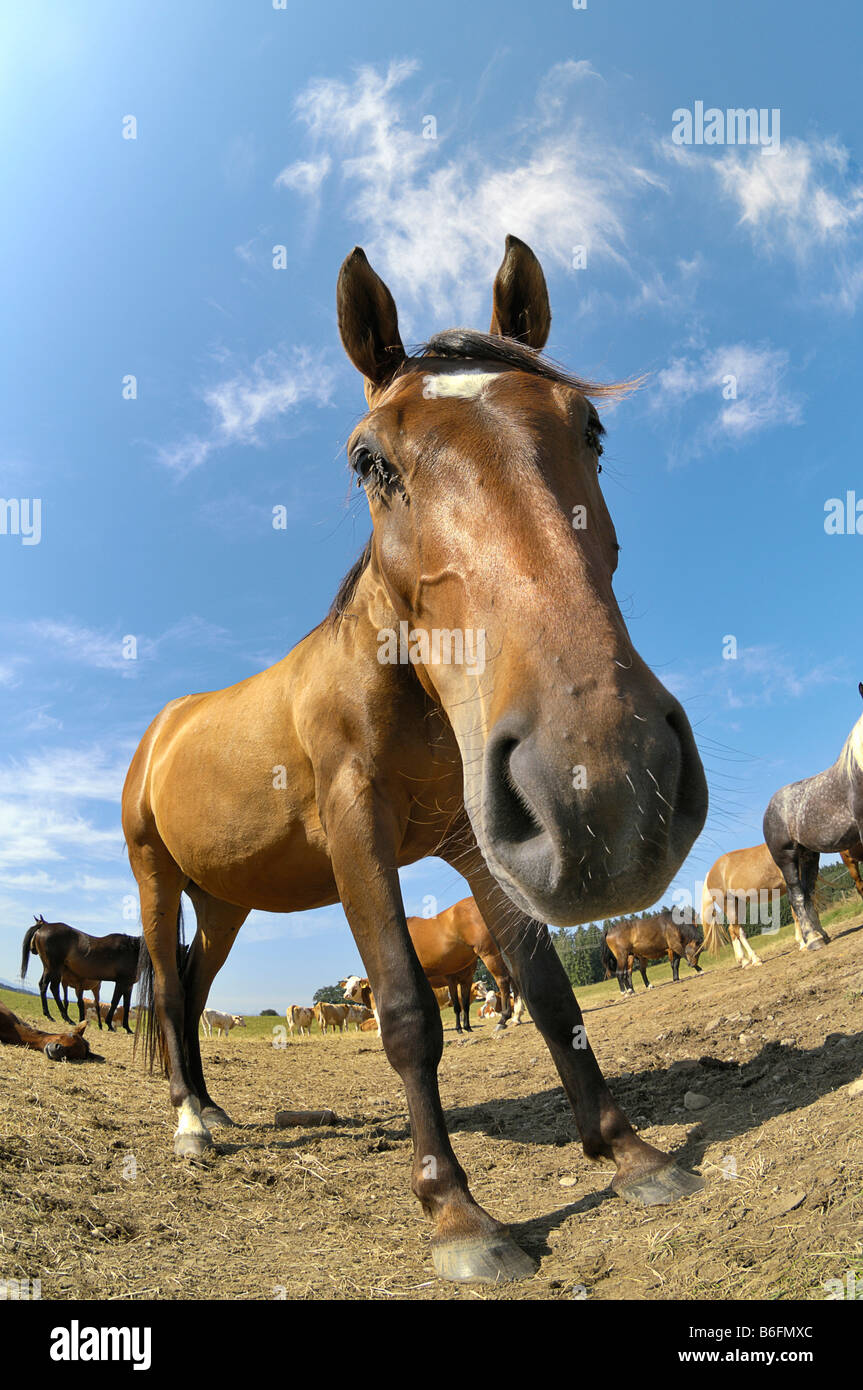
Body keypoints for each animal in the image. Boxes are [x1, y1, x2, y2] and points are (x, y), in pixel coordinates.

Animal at [126, 236, 705, 1278]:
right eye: (369, 461)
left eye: (590, 429)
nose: (605, 782)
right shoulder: (360, 831)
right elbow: (404, 1010)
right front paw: (458, 1214)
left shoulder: (486, 845)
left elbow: (550, 996)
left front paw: (628, 1152)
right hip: (155, 880)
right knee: (166, 987)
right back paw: (189, 1126)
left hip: (224, 903)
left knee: (191, 993)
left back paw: (217, 1111)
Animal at [761, 686, 861, 956]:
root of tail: (770, 808)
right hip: (787, 857)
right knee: (796, 896)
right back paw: (812, 940)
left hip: (808, 855)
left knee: (808, 893)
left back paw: (821, 935)